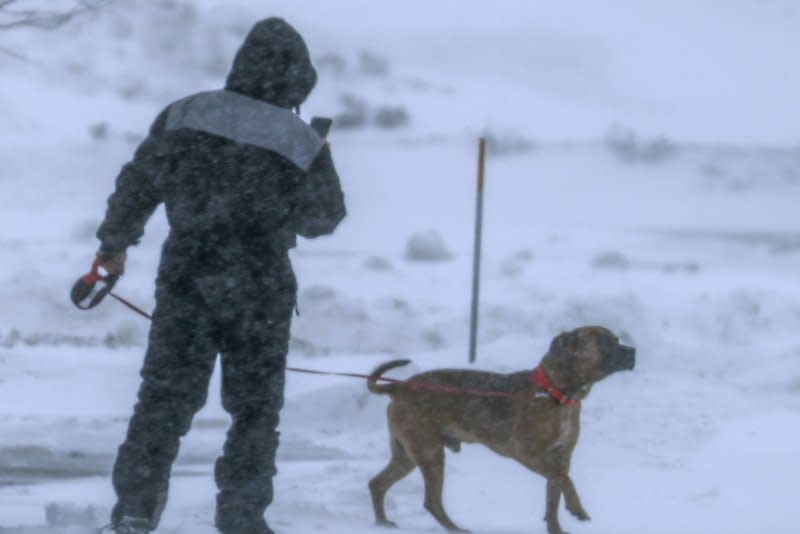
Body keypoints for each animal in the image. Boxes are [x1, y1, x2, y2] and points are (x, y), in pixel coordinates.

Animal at [366, 326, 636, 534]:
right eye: (603, 341)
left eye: (617, 339)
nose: (633, 351)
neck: (554, 392)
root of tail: (399, 388)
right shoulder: (529, 453)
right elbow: (564, 480)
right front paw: (577, 508)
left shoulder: (560, 457)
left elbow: (554, 495)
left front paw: (556, 528)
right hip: (429, 453)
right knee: (431, 501)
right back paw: (455, 528)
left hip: (407, 456)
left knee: (377, 483)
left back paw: (382, 523)